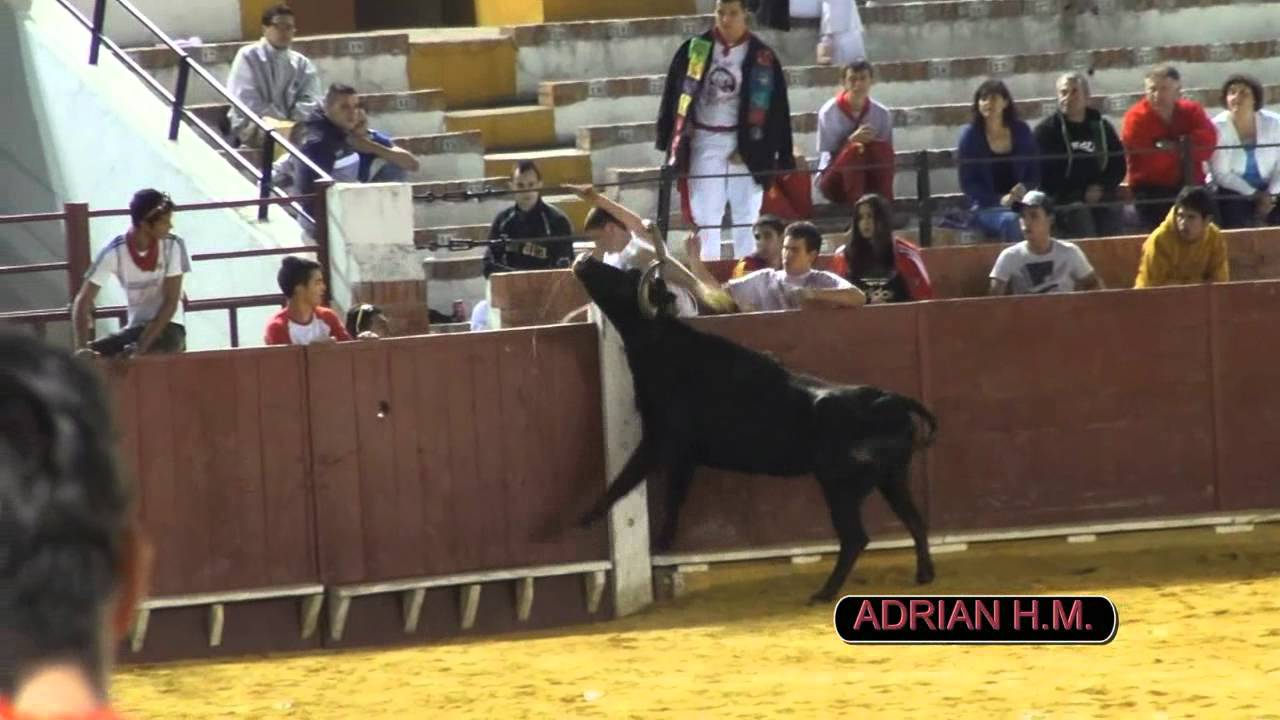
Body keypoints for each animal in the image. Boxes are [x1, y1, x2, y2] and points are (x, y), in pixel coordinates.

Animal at [556, 237, 939, 604]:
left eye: (627, 280)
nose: (585, 259)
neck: (669, 350)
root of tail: (887, 399)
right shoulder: (684, 456)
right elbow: (675, 496)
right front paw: (664, 541)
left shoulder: (660, 440)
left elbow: (625, 479)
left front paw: (585, 518)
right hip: (892, 477)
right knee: (915, 519)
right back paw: (923, 574)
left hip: (840, 484)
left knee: (856, 537)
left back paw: (824, 593)